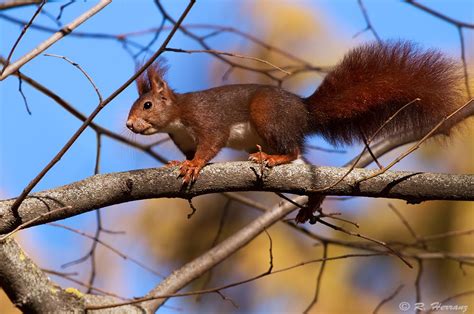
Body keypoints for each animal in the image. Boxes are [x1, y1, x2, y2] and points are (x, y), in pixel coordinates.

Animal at [126, 41, 462, 222]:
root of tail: (304, 111)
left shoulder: (206, 120)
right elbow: (189, 151)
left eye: (147, 105)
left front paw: (194, 165)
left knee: (294, 151)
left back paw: (272, 160)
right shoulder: (183, 139)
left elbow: (210, 144)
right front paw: (178, 162)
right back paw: (312, 201)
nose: (129, 125)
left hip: (267, 116)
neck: (177, 117)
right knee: (306, 166)